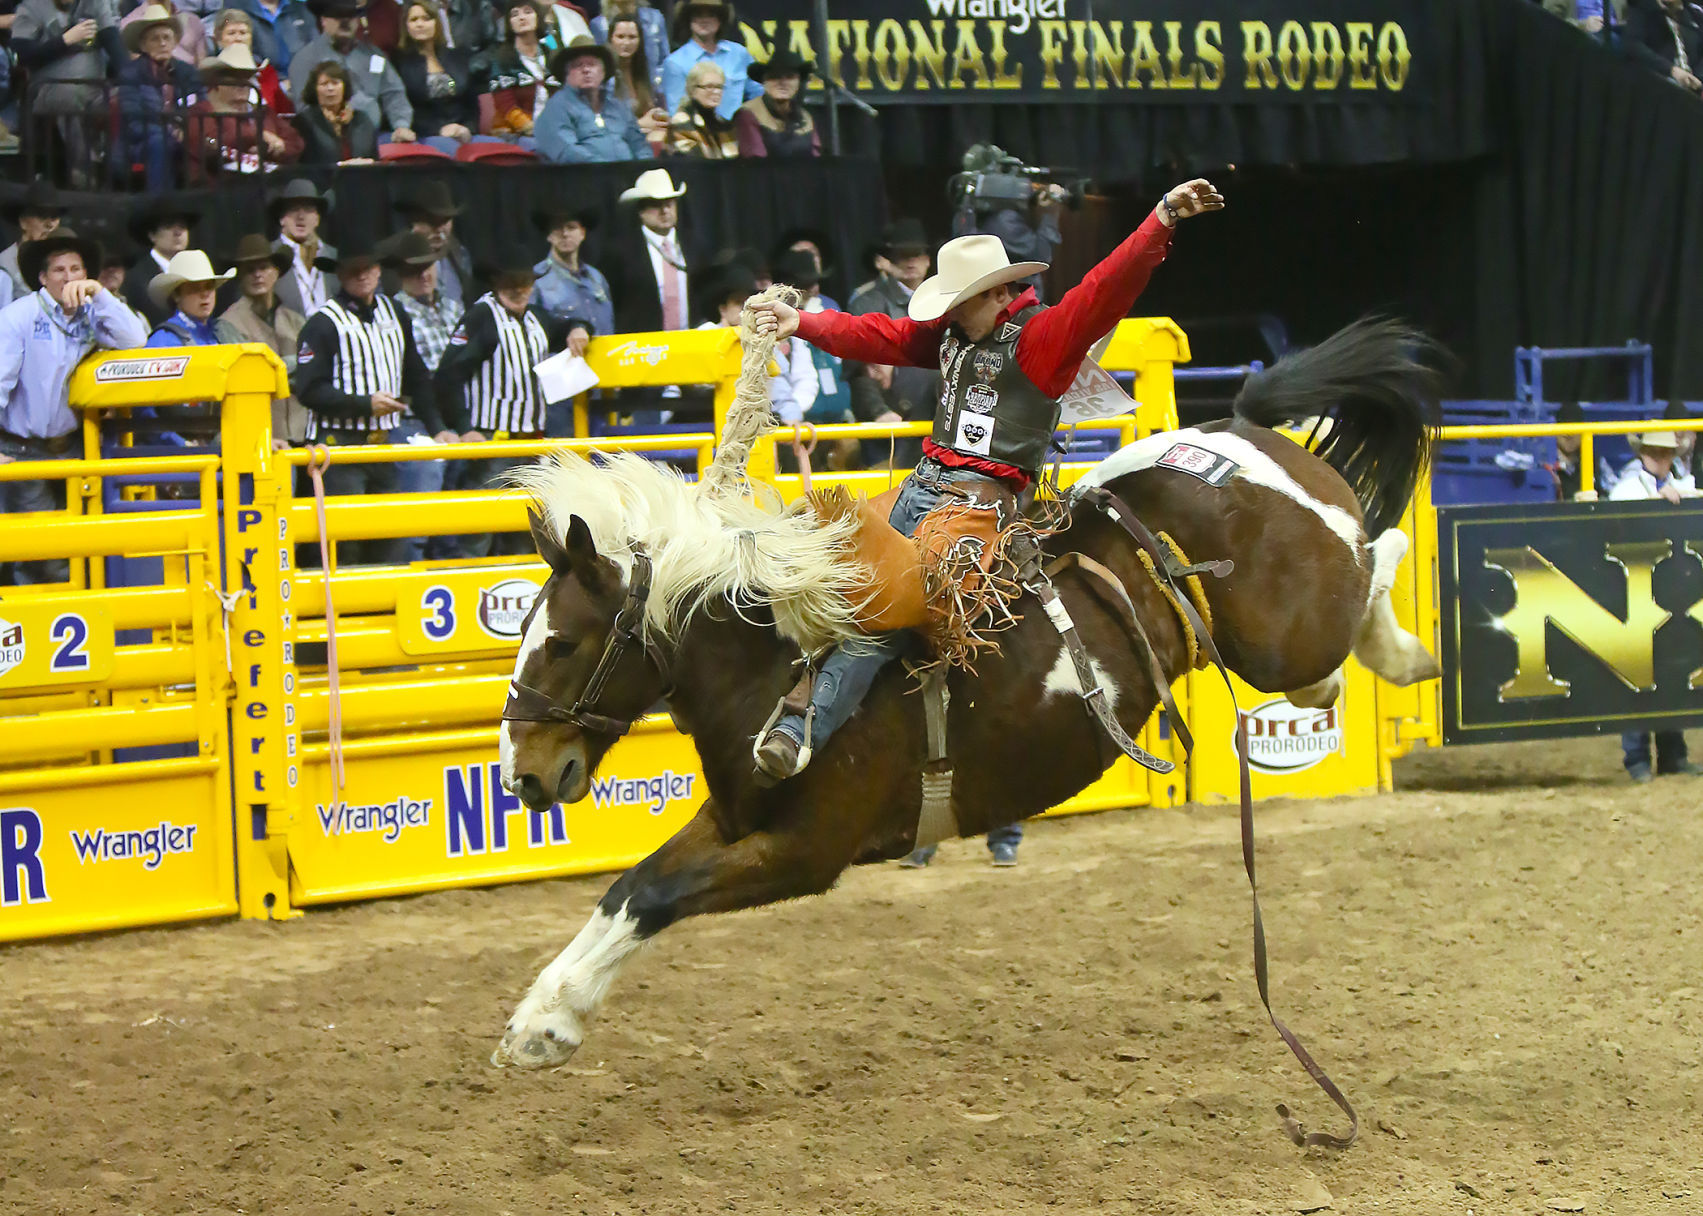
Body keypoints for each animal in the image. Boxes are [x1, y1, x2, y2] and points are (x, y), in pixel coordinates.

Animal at [490, 316, 1437, 1144]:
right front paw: (541, 1020)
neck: (777, 659)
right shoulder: (730, 822)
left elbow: (657, 895)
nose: (523, 774)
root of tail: (1243, 436)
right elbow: (629, 889)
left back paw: (1404, 650)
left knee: (1378, 554)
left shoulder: (803, 852)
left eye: (563, 642)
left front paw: (546, 1023)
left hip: (1289, 628)